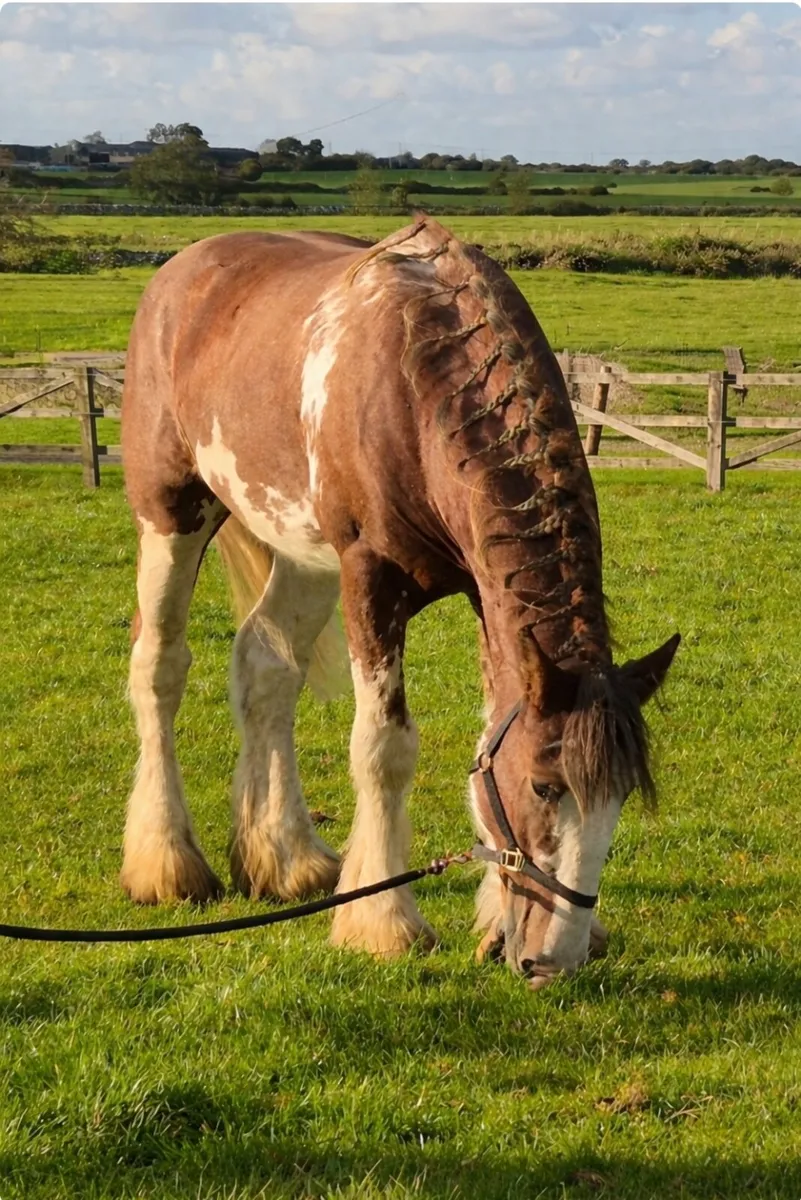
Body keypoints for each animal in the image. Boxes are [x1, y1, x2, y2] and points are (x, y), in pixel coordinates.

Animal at [120, 216, 679, 988]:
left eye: (621, 796)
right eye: (543, 787)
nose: (554, 960)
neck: (417, 388)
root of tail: (183, 270)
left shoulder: (481, 590)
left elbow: (485, 737)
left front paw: (492, 921)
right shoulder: (371, 578)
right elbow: (383, 747)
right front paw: (383, 924)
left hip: (302, 551)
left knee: (266, 668)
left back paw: (286, 860)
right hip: (171, 514)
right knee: (160, 667)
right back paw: (167, 864)